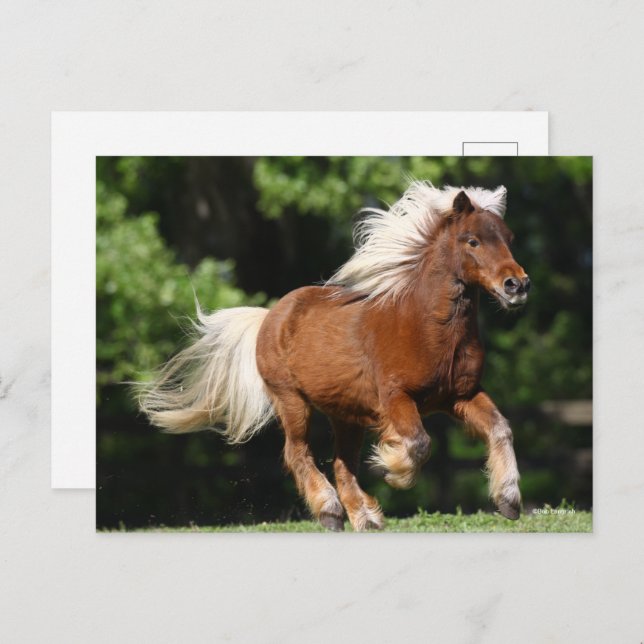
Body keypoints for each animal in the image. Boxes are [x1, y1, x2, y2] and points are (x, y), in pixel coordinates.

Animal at [139, 181, 531, 531]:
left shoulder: (460, 395)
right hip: (292, 402)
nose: (518, 285)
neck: (426, 329)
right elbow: (419, 443)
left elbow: (500, 428)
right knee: (298, 453)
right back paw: (330, 512)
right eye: (472, 240)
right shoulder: (396, 398)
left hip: (346, 415)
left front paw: (508, 501)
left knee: (342, 465)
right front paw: (391, 468)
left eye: (509, 238)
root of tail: (269, 317)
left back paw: (366, 518)